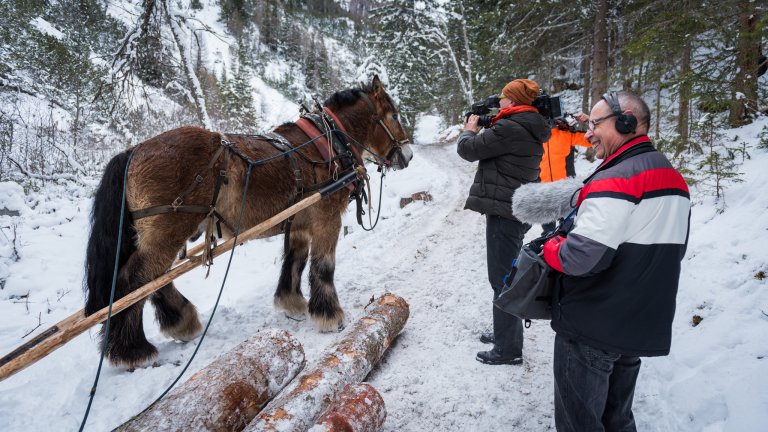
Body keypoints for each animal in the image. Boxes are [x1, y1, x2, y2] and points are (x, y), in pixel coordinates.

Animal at [82, 76, 414, 366]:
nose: (408, 155)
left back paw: (181, 321)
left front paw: (291, 302)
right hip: (168, 231)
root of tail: (132, 151)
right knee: (133, 282)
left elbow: (295, 260)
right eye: (395, 115)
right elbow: (323, 265)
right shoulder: (326, 217)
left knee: (153, 280)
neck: (329, 141)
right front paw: (328, 315)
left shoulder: (299, 222)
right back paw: (132, 350)